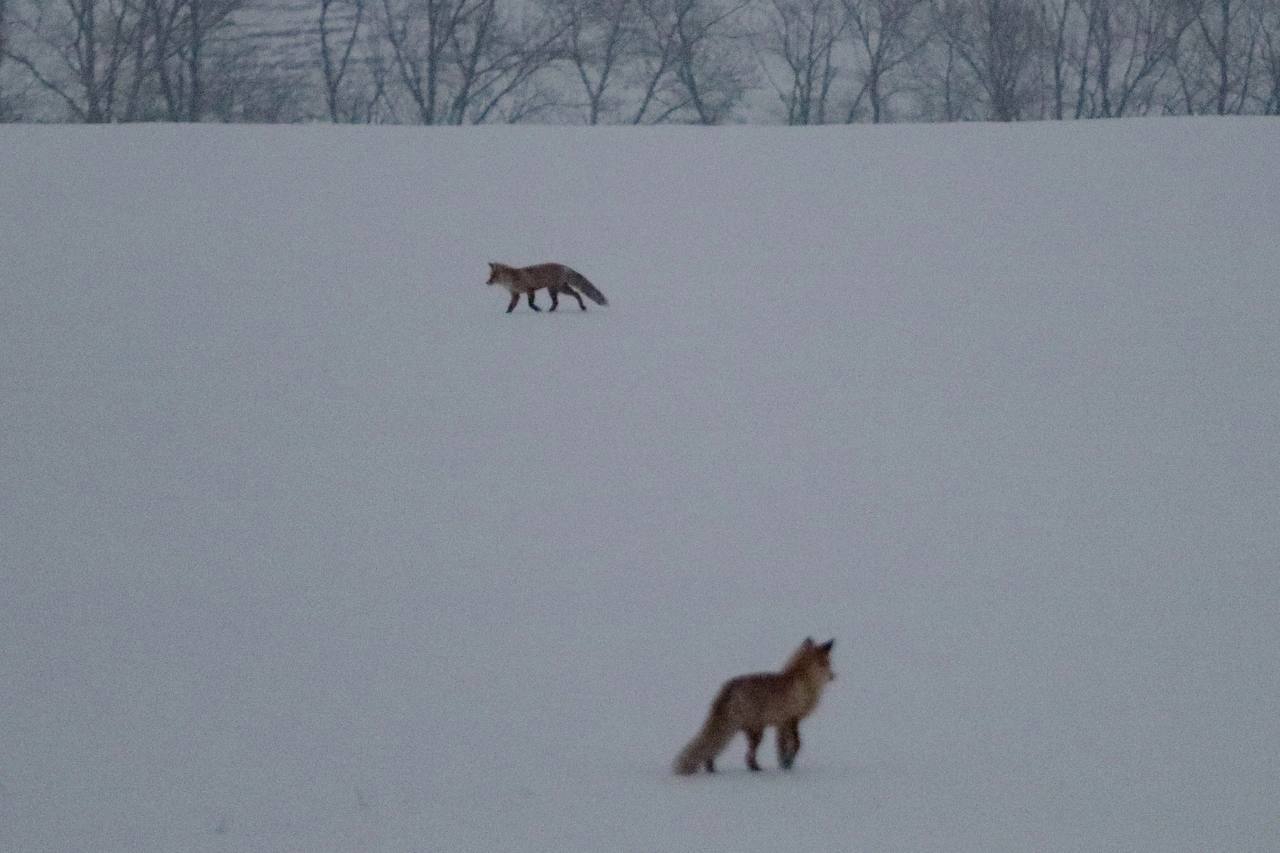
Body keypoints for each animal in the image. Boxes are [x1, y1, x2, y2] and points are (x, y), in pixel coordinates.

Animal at [675, 635, 834, 773]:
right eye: (827, 663)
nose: (833, 676)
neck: (803, 681)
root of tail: (728, 688)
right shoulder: (791, 719)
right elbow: (796, 744)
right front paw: (788, 764)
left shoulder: (781, 724)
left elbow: (782, 748)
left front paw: (785, 765)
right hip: (755, 732)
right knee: (745, 756)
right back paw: (755, 770)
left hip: (746, 730)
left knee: (717, 751)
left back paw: (714, 769)